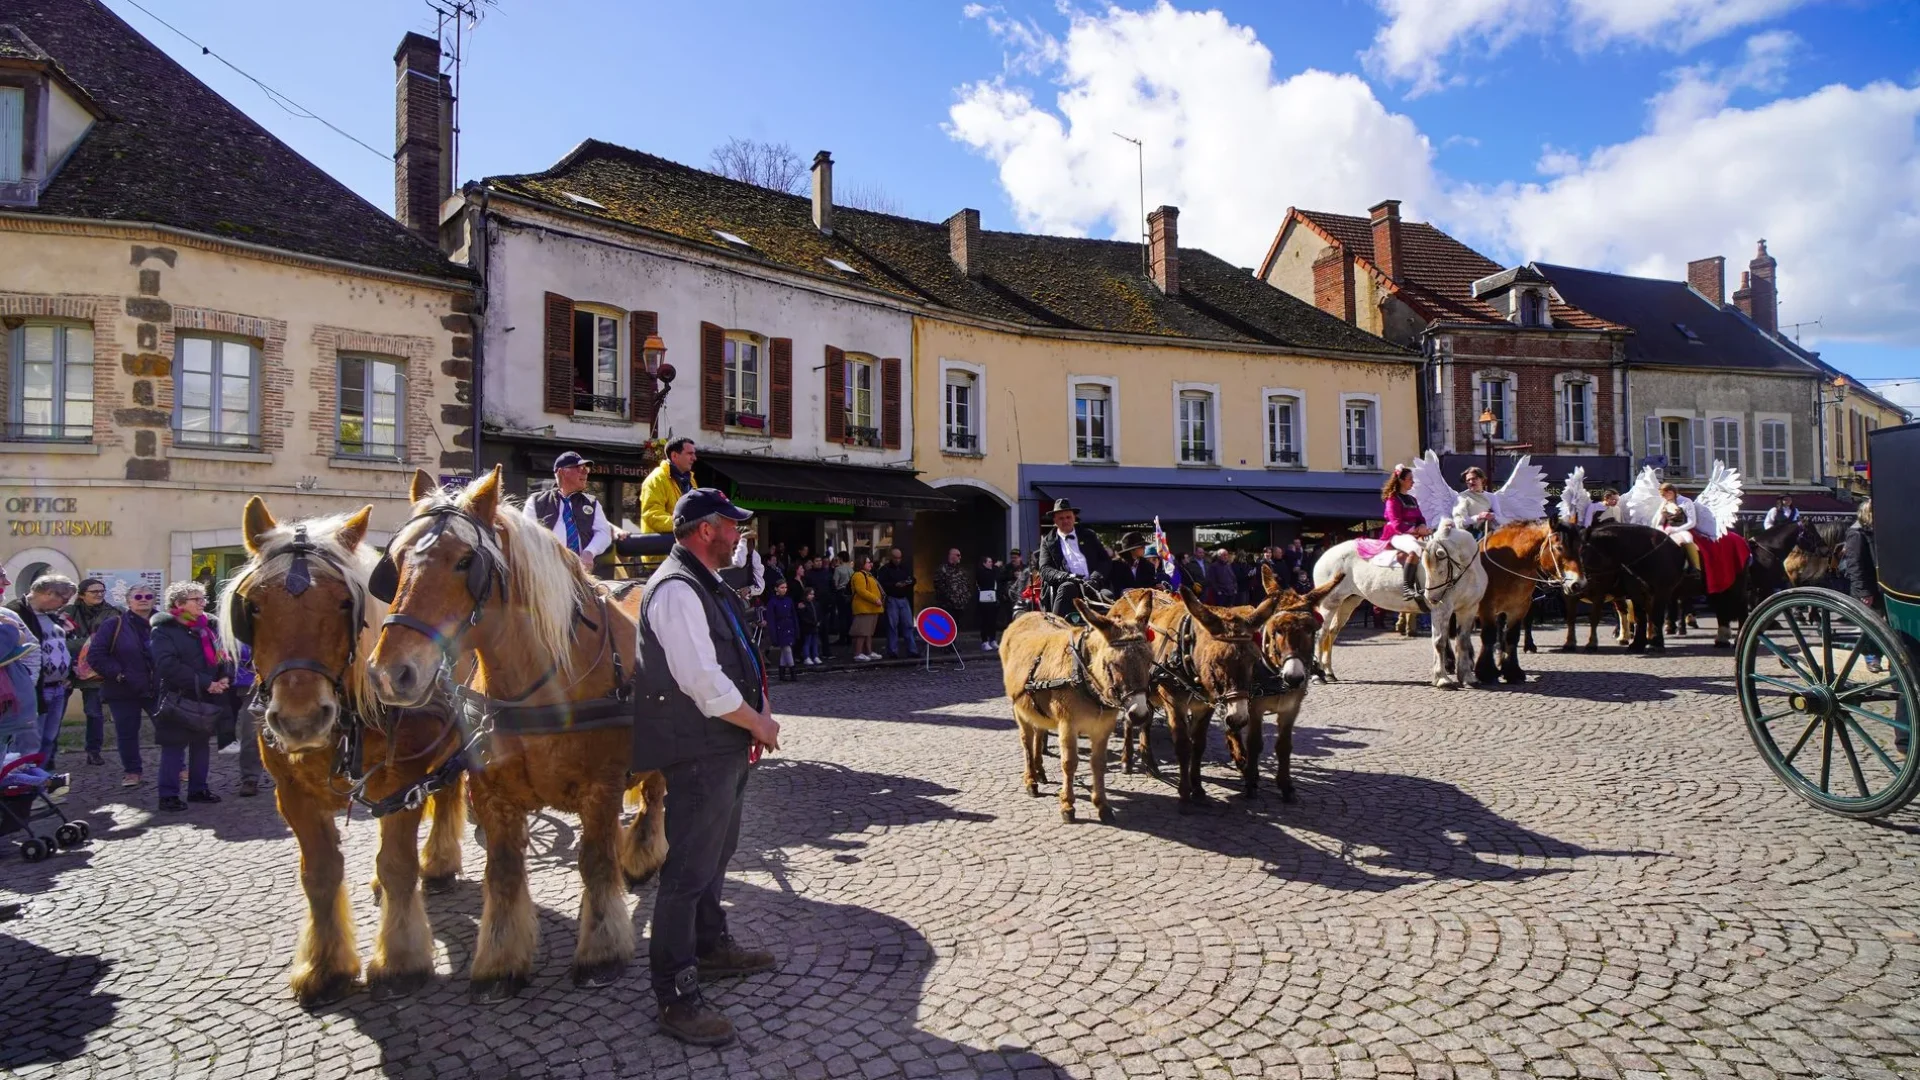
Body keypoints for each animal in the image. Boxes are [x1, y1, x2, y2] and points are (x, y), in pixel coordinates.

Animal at [218, 495, 468, 999]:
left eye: (343, 602)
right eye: (253, 606)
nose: (300, 718)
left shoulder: (406, 780)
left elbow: (398, 864)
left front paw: (400, 960)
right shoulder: (292, 793)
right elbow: (319, 874)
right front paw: (324, 965)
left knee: (448, 796)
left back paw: (438, 863)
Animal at [364, 466, 668, 999]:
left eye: (466, 561)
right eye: (395, 562)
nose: (389, 673)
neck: (548, 685)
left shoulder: (602, 787)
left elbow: (596, 861)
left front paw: (602, 949)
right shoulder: (492, 794)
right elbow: (503, 872)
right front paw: (501, 960)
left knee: (655, 795)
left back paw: (645, 856)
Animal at [1006, 595, 1152, 814]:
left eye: (1150, 660)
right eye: (1115, 664)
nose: (1140, 714)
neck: (1084, 676)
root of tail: (1029, 613)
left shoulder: (1103, 726)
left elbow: (1098, 763)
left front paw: (1102, 804)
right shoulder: (1068, 725)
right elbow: (1069, 762)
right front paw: (1067, 805)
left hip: (1037, 709)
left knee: (1039, 734)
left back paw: (1040, 771)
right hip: (1019, 710)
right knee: (1027, 741)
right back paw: (1031, 780)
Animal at [1313, 522, 1489, 687]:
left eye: (1441, 568)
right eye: (1427, 568)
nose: (1431, 598)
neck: (1468, 571)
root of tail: (1327, 553)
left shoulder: (1469, 609)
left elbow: (1463, 642)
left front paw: (1468, 678)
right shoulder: (1442, 609)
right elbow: (1439, 642)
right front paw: (1442, 679)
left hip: (1348, 602)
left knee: (1332, 633)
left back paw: (1328, 672)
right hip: (1329, 604)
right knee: (1321, 634)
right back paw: (1317, 676)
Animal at [1474, 518, 1582, 680]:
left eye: (1580, 548)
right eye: (1559, 547)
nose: (1577, 584)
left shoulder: (1519, 607)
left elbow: (1512, 636)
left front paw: (1512, 670)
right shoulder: (1487, 607)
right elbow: (1489, 635)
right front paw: (1486, 672)